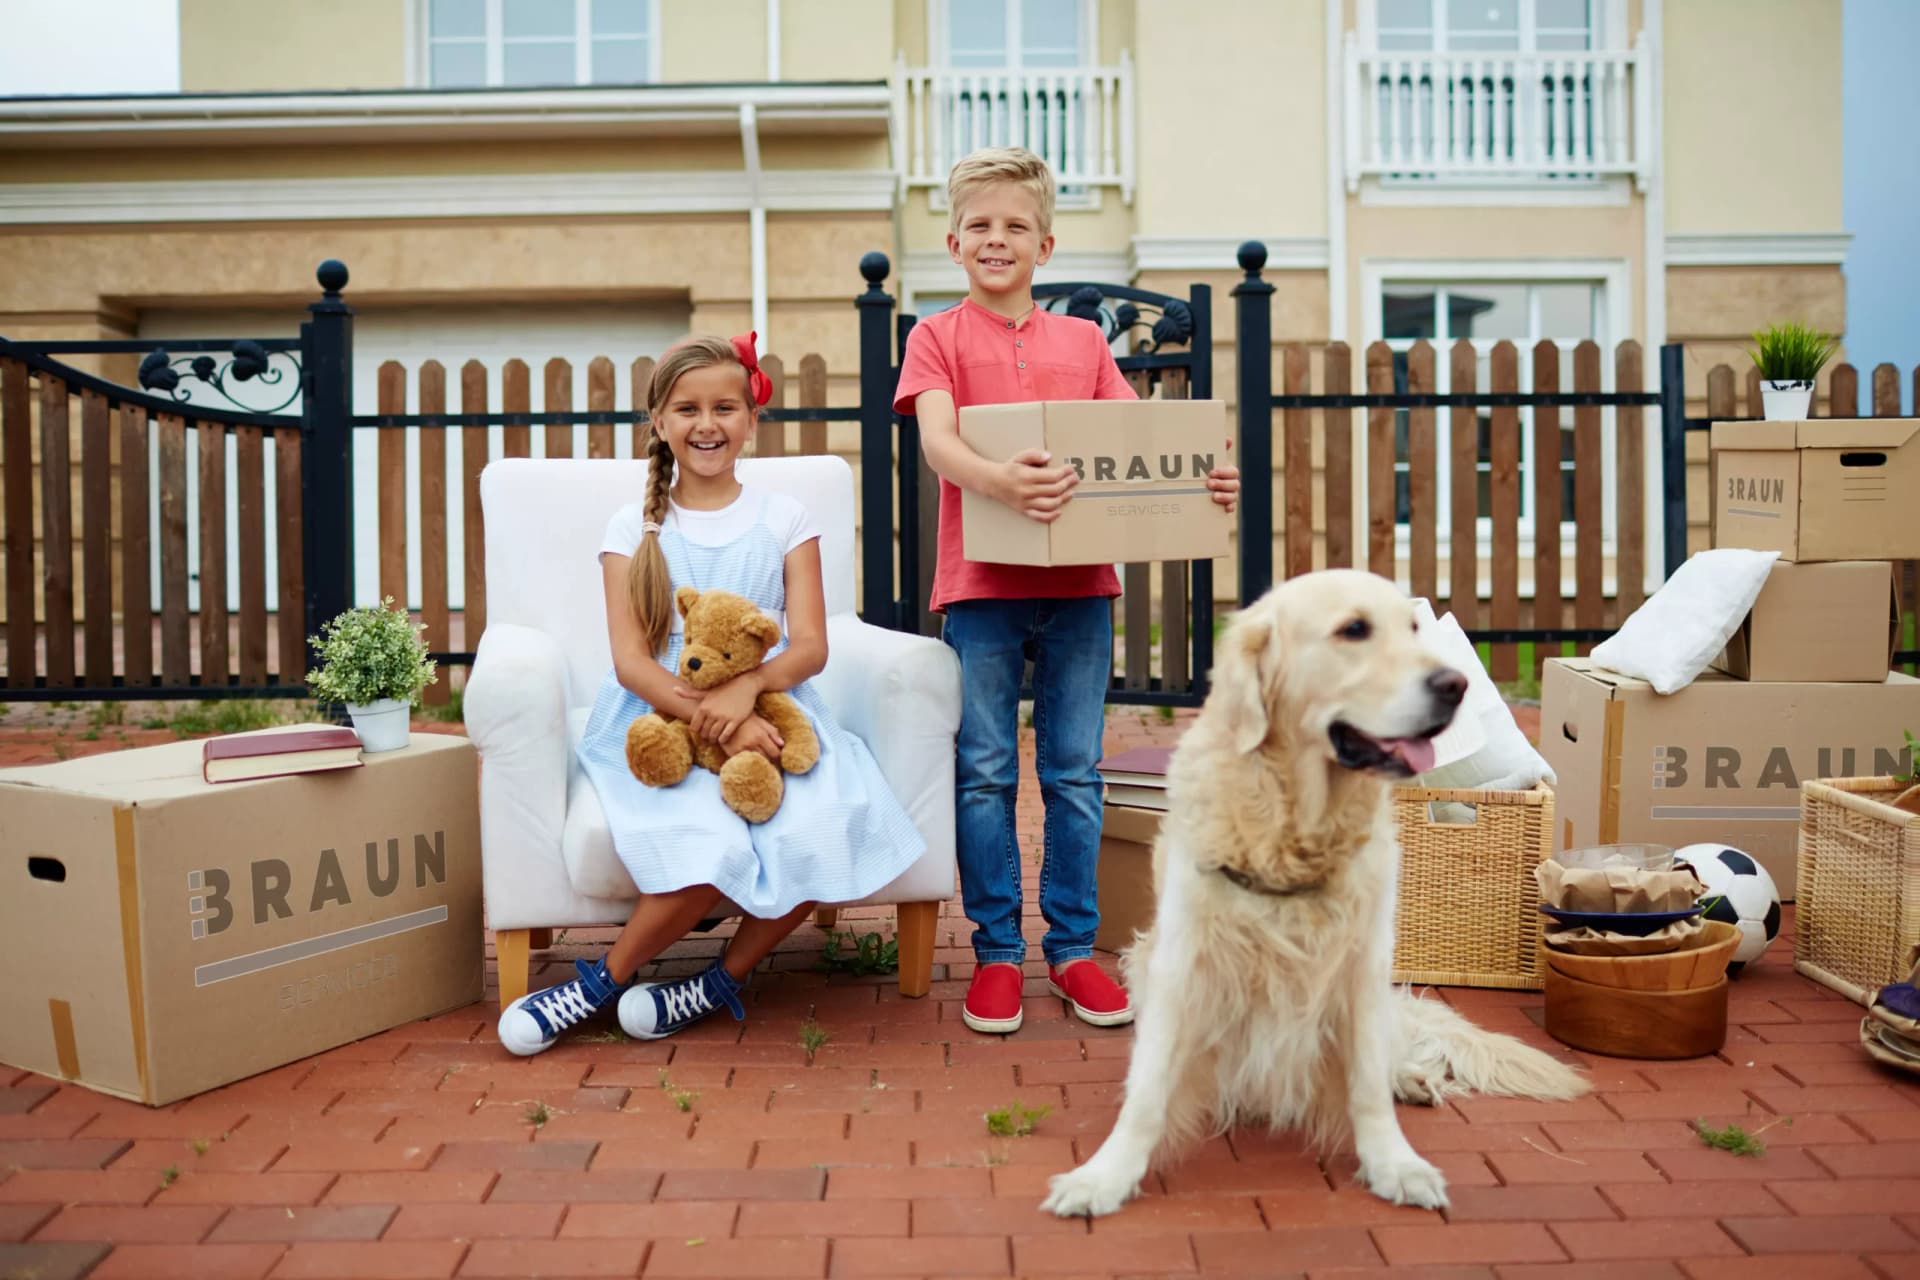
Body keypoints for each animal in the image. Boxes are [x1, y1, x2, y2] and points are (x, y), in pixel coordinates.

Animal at [1044, 571, 1582, 1220]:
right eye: (1353, 629)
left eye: (1413, 627)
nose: (1456, 685)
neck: (1293, 829)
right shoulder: (1181, 966)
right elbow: (1146, 1093)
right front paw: (1104, 1176)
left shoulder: (1360, 965)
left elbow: (1366, 1086)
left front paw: (1394, 1164)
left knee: (1391, 1053)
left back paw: (1410, 1079)